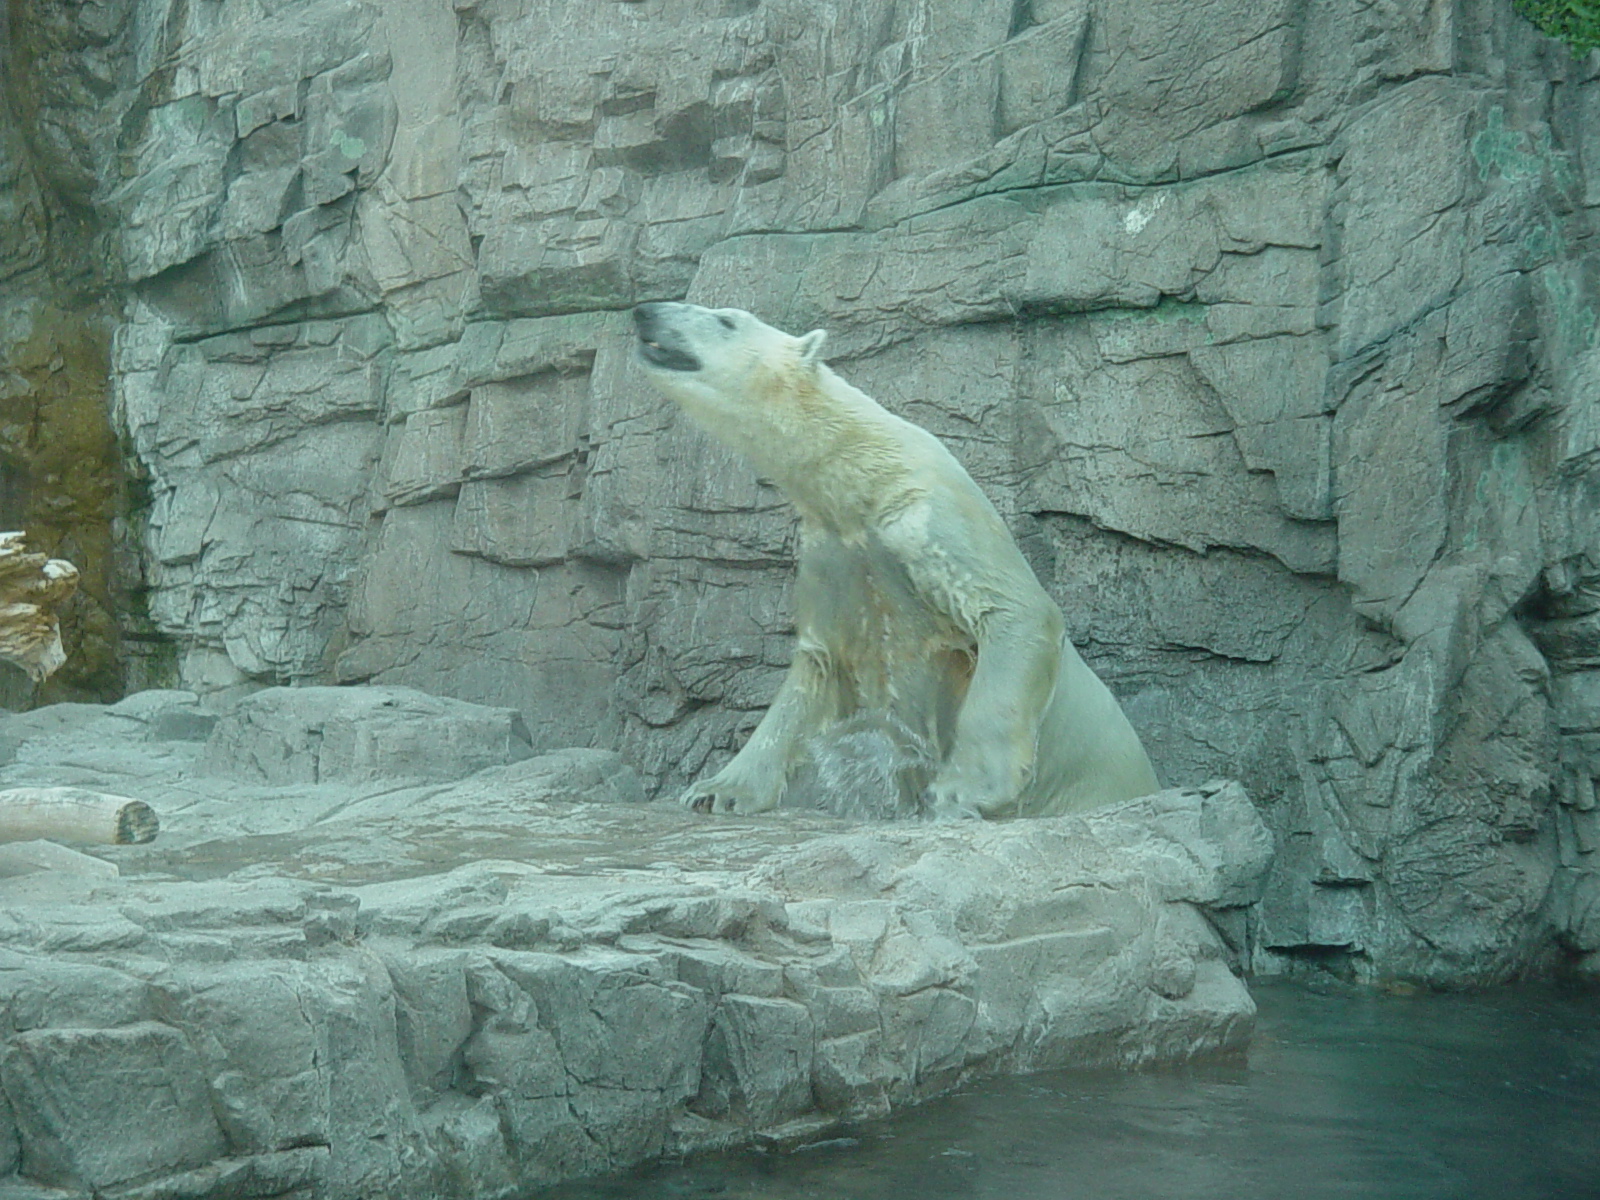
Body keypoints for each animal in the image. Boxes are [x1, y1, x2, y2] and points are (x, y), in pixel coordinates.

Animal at [632, 301, 1159, 820]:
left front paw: (963, 791)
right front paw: (716, 789)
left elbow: (1012, 610)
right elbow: (815, 671)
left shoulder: (929, 519)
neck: (860, 476)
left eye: (725, 320)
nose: (644, 310)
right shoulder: (834, 554)